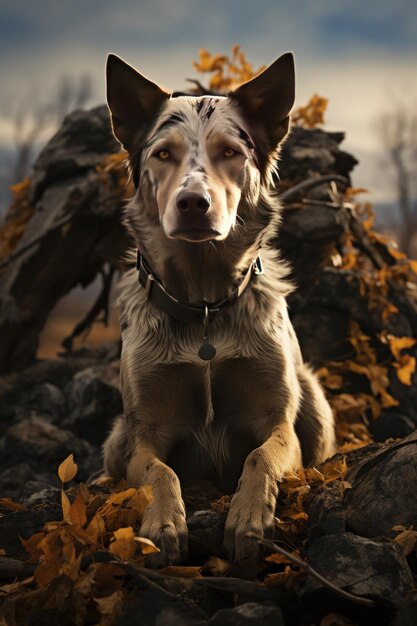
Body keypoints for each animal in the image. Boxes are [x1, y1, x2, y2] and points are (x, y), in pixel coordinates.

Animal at [104, 52, 334, 564]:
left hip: (315, 401)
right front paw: (163, 523)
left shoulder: (278, 422)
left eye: (230, 152)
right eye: (162, 154)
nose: (193, 203)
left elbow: (259, 455)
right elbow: (161, 472)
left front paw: (248, 519)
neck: (205, 306)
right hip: (115, 439)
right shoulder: (144, 435)